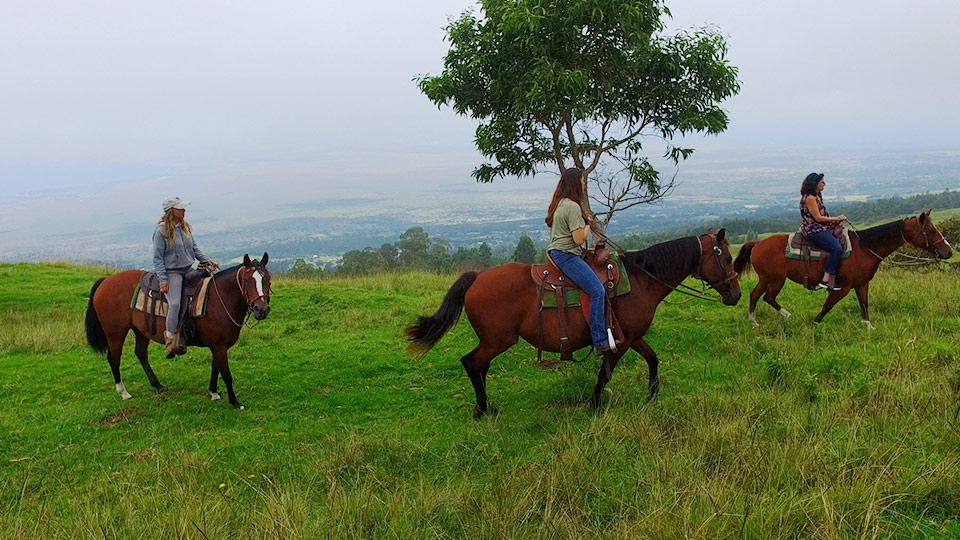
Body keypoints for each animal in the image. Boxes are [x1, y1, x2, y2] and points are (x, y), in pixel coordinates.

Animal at [85, 253, 272, 410]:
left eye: (268, 280)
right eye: (247, 281)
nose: (261, 310)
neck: (219, 300)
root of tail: (105, 281)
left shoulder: (218, 345)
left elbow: (215, 369)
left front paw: (213, 392)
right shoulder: (219, 346)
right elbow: (226, 373)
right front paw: (234, 402)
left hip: (141, 331)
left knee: (141, 354)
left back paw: (157, 385)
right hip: (115, 333)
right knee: (114, 359)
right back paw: (123, 392)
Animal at [404, 230, 744, 420]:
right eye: (727, 258)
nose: (737, 294)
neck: (641, 280)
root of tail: (477, 277)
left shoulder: (633, 336)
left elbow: (653, 359)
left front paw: (652, 395)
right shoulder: (619, 341)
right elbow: (605, 374)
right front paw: (594, 404)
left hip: (494, 341)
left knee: (479, 366)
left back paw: (485, 407)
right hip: (498, 340)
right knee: (472, 363)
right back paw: (483, 409)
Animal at [736, 211, 952, 330]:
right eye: (931, 230)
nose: (948, 251)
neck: (865, 247)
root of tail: (757, 244)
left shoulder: (861, 284)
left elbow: (864, 305)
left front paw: (869, 327)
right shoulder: (844, 287)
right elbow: (827, 306)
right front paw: (815, 323)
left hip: (767, 279)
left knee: (755, 295)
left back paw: (754, 322)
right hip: (775, 280)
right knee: (766, 297)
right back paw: (783, 316)